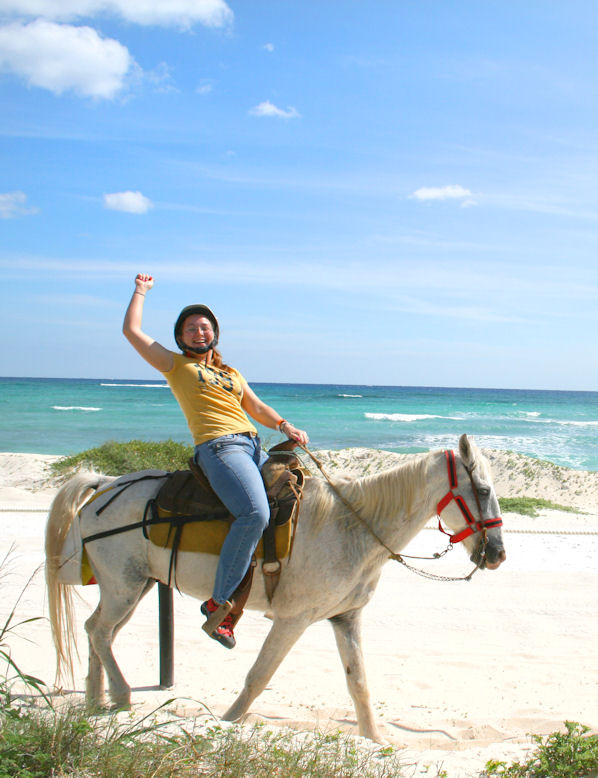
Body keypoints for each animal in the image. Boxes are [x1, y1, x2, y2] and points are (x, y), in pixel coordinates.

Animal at [48, 434, 506, 744]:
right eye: (482, 490)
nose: (497, 554)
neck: (352, 527)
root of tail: (106, 483)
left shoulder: (345, 619)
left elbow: (359, 684)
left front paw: (375, 740)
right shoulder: (292, 620)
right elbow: (258, 676)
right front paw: (227, 723)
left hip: (135, 585)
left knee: (98, 632)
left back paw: (97, 701)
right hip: (125, 586)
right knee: (99, 632)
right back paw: (120, 694)